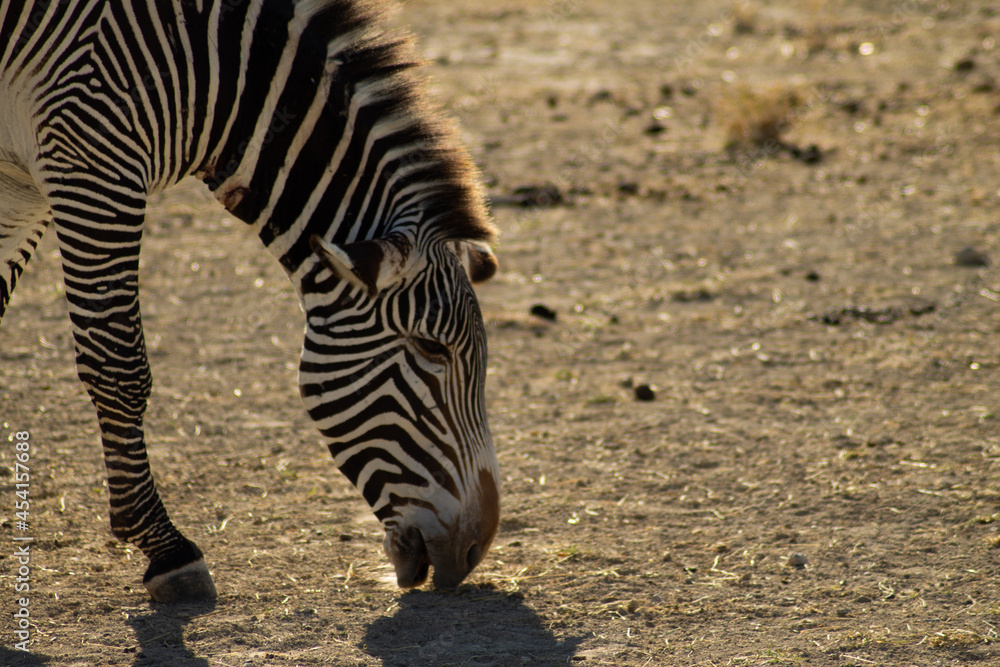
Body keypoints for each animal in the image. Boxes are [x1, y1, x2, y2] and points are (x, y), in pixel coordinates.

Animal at [0, 0, 502, 602]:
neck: (208, 69)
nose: (475, 551)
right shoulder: (91, 161)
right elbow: (119, 366)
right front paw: (166, 548)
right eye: (431, 348)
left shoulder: (24, 182)